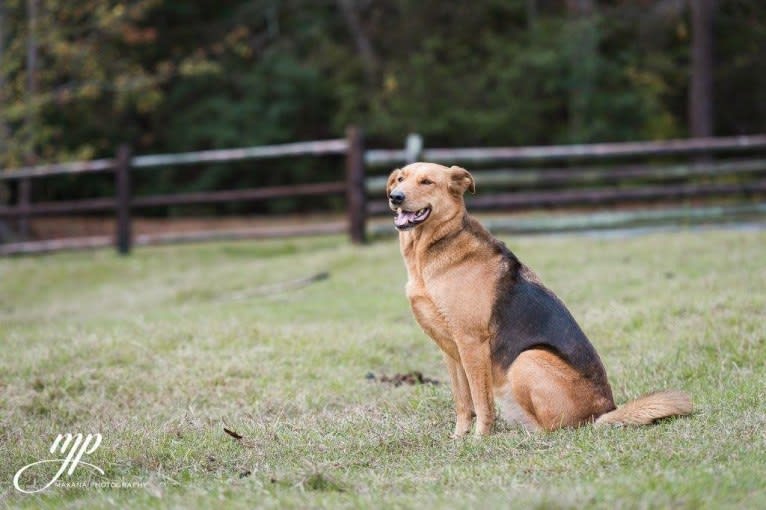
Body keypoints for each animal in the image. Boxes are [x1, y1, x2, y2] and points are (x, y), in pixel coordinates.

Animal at [388, 161, 692, 436]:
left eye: (427, 182)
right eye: (401, 179)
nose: (395, 197)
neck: (431, 249)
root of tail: (602, 413)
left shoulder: (472, 343)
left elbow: (481, 402)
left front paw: (479, 439)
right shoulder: (450, 349)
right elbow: (463, 402)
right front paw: (459, 438)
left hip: (527, 358)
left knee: (553, 429)